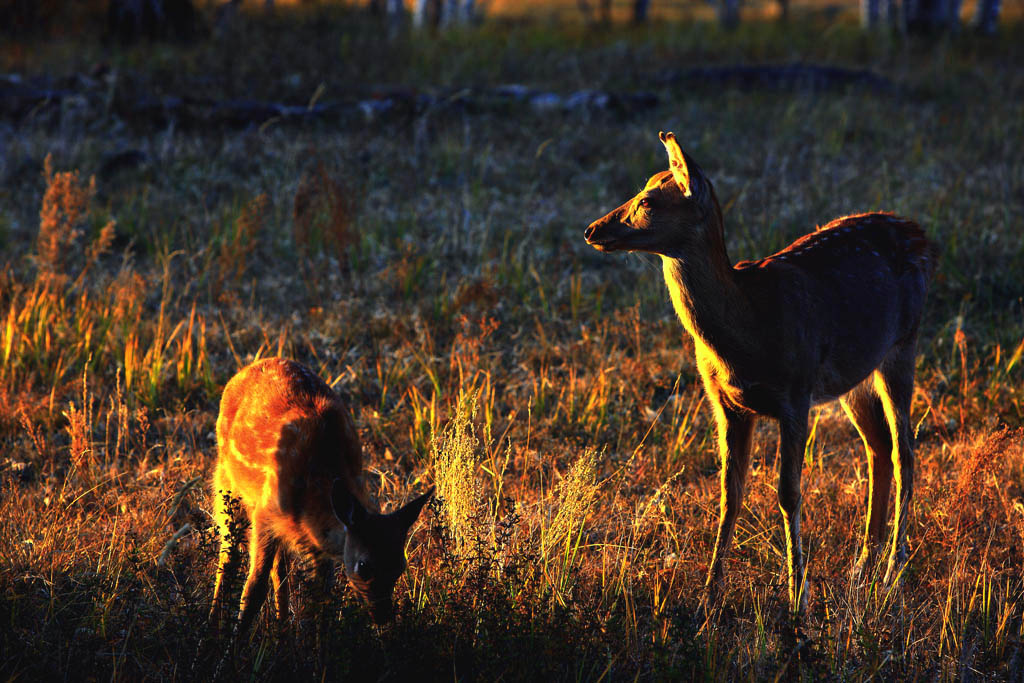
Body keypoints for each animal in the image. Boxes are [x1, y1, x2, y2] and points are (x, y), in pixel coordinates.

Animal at [207, 356, 432, 634]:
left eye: (400, 566)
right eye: (364, 566)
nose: (383, 616)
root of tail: (243, 371)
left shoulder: (315, 542)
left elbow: (321, 600)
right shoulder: (264, 514)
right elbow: (254, 588)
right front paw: (235, 640)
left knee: (280, 569)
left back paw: (281, 630)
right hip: (226, 486)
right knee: (229, 555)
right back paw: (211, 627)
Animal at [585, 131, 937, 610]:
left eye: (649, 201)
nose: (593, 229)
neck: (746, 330)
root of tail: (920, 233)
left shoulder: (796, 392)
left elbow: (788, 493)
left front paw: (796, 597)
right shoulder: (725, 402)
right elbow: (729, 494)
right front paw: (709, 593)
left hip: (903, 345)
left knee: (906, 450)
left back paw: (892, 574)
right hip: (854, 376)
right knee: (878, 447)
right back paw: (862, 568)